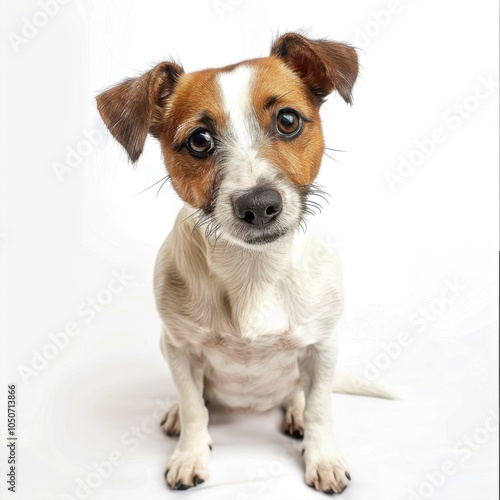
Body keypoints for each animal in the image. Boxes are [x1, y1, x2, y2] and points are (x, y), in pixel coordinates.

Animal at [96, 33, 376, 494]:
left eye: (287, 120)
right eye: (199, 141)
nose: (259, 205)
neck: (253, 270)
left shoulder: (322, 346)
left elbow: (320, 408)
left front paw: (323, 459)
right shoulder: (178, 348)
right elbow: (195, 408)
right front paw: (190, 454)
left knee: (298, 395)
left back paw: (294, 413)